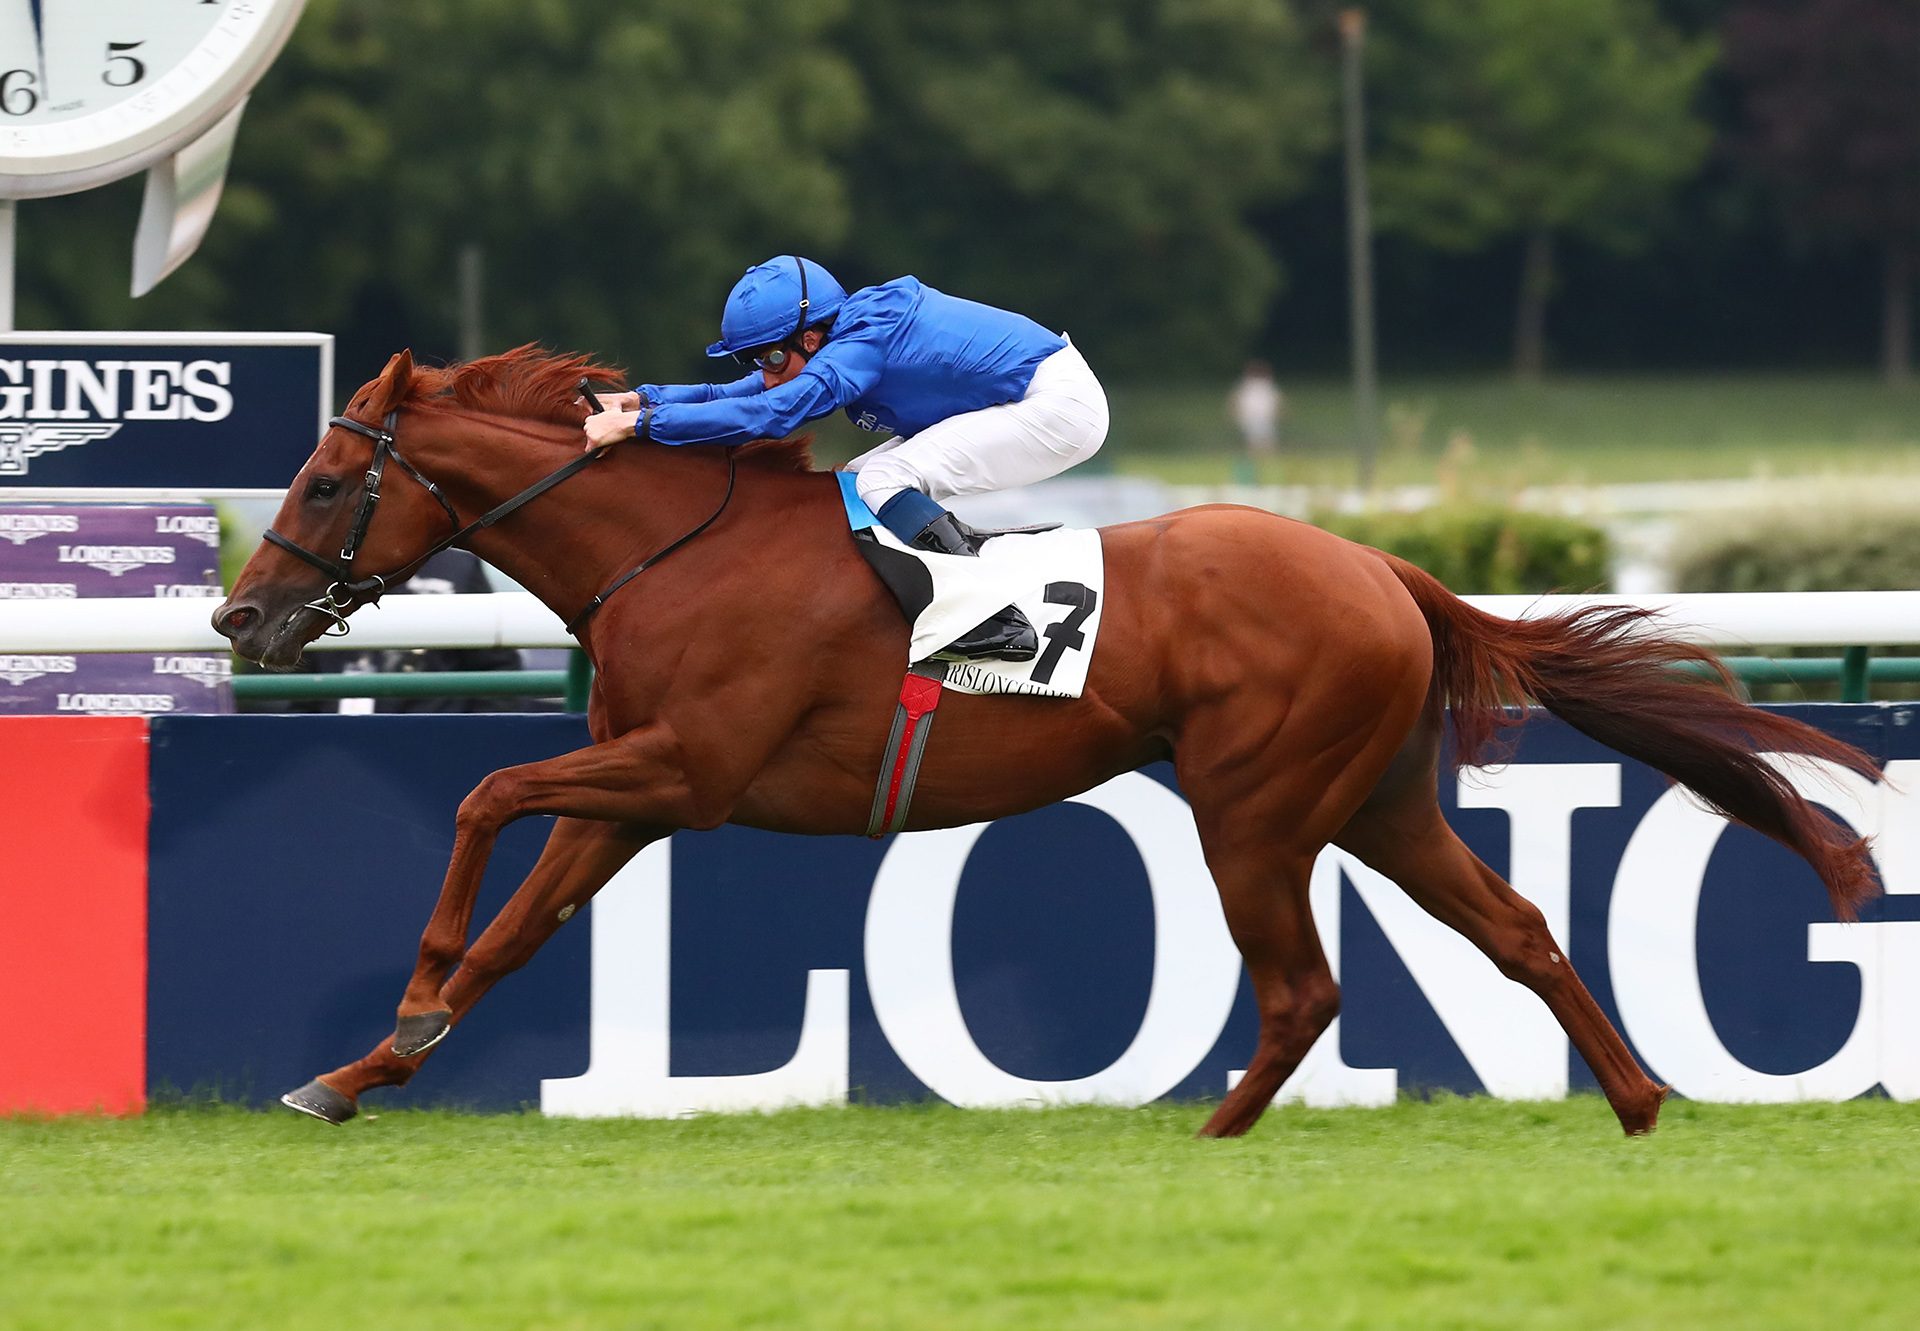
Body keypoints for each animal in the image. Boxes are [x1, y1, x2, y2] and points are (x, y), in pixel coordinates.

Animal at [210, 347, 1873, 1137]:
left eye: (320, 479)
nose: (239, 616)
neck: (672, 550)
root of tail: (1381, 562)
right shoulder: (637, 788)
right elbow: (518, 922)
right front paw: (364, 1067)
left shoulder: (692, 767)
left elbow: (486, 791)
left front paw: (406, 1000)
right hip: (1383, 802)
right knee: (1518, 927)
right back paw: (1639, 1098)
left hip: (1254, 806)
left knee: (1304, 985)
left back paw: (1210, 1129)